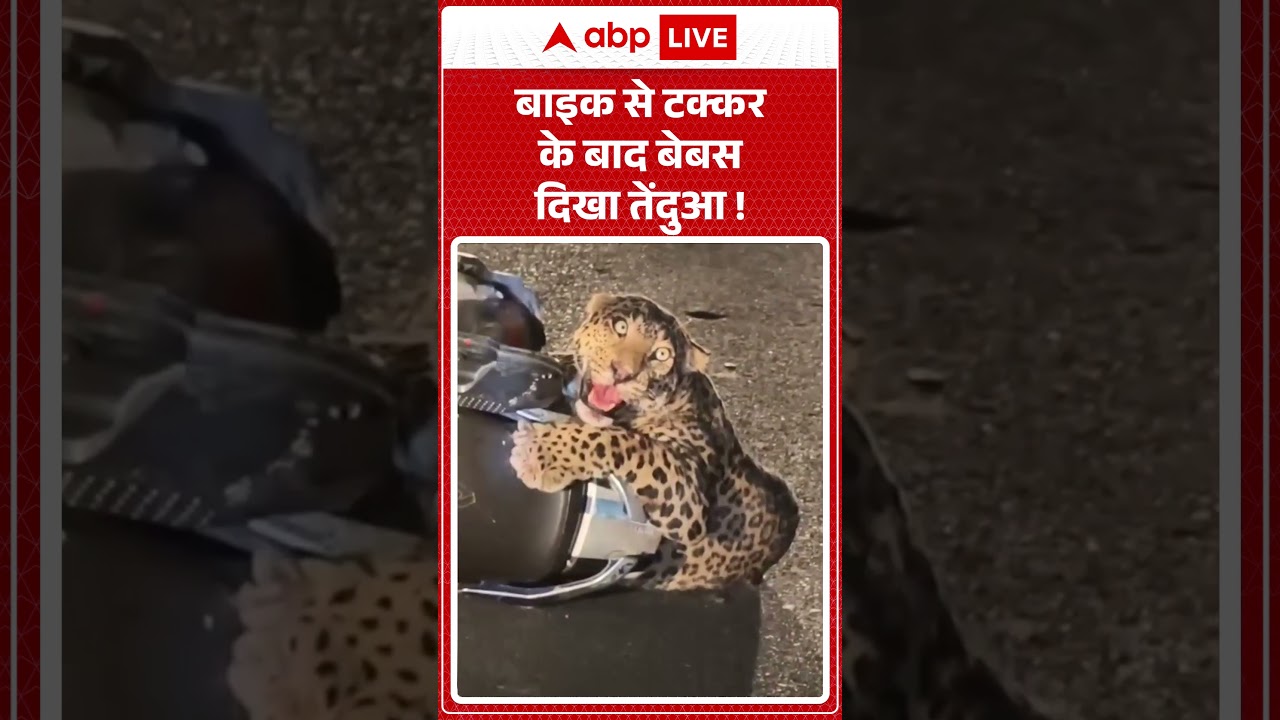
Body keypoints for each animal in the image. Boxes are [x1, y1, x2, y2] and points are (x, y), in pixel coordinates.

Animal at [509, 292, 801, 591]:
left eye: (661, 355)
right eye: (620, 326)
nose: (622, 373)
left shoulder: (688, 500)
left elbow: (627, 442)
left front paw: (540, 454)